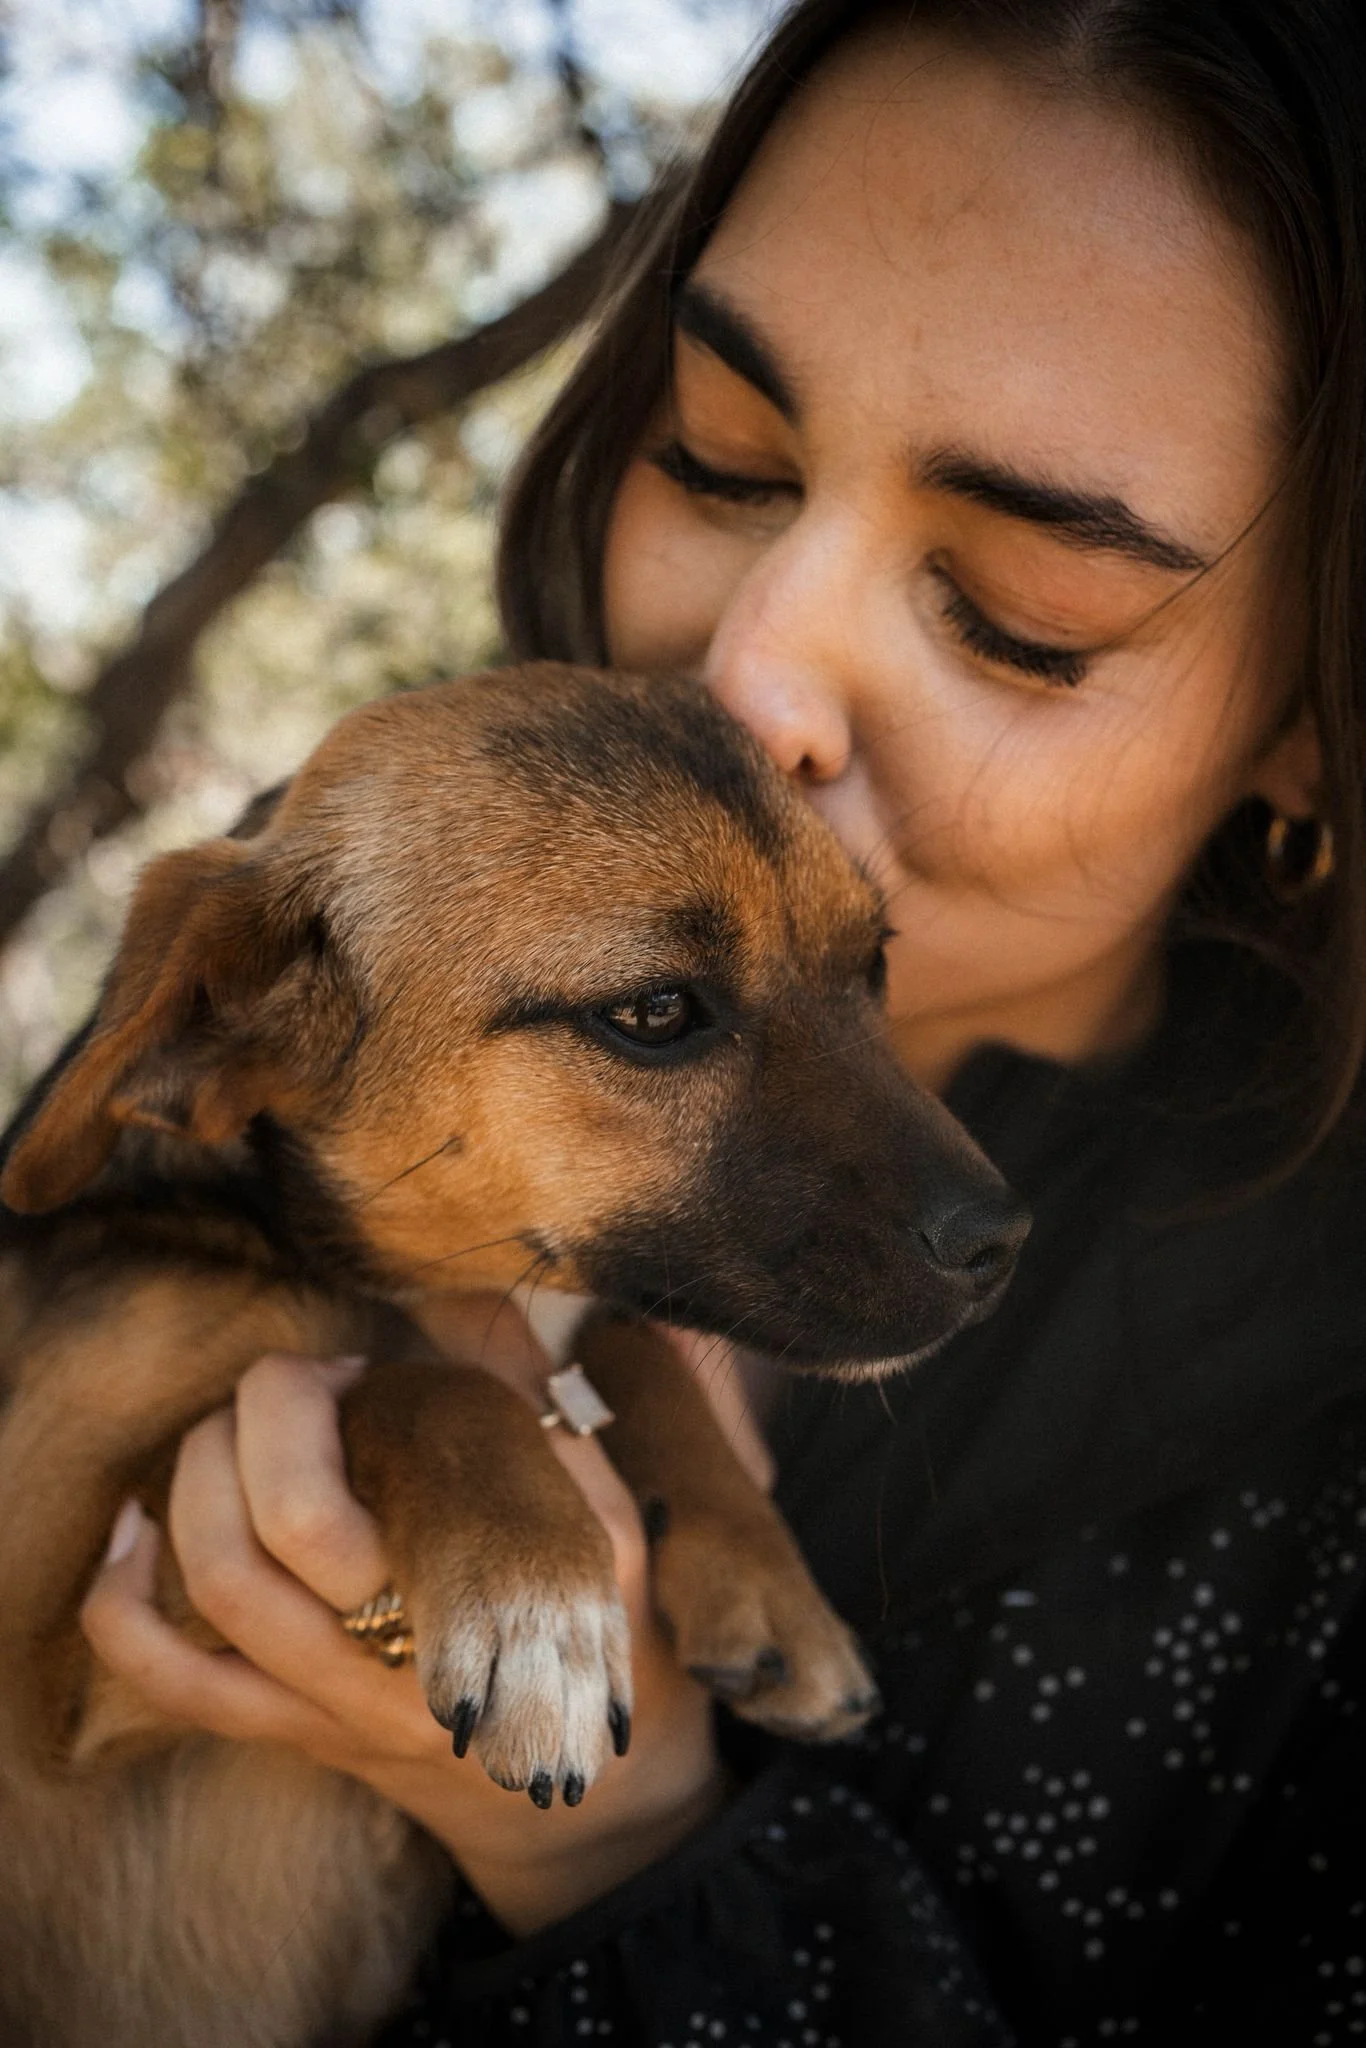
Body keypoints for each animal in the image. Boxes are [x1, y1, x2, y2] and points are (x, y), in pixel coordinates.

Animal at [0, 663, 1027, 2047]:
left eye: (872, 963)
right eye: (654, 1012)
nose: (1004, 1242)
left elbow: (626, 1341)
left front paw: (764, 1580)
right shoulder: (52, 1651)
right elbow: (417, 1381)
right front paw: (537, 1604)